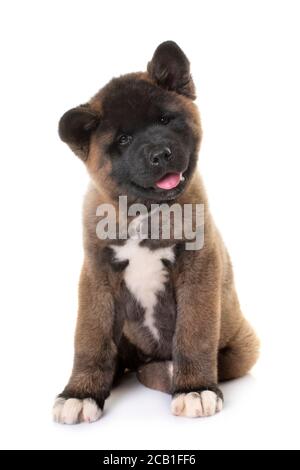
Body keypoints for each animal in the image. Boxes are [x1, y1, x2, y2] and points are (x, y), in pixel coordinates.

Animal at [52, 39, 258, 422]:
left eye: (164, 120)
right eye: (124, 139)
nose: (160, 154)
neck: (144, 212)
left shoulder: (199, 269)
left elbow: (194, 334)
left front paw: (195, 389)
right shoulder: (97, 277)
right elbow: (90, 340)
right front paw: (81, 394)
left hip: (242, 347)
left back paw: (172, 372)